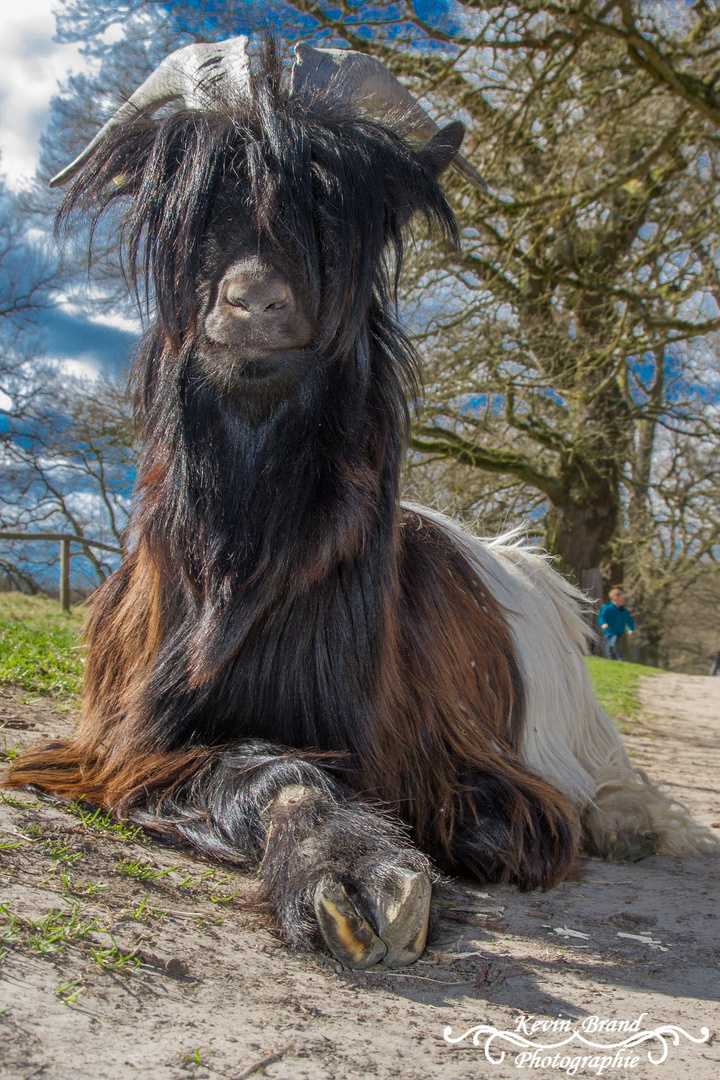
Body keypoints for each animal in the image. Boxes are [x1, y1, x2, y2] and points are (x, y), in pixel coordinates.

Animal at [4, 39, 703, 972]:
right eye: (195, 204)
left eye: (337, 211)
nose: (254, 301)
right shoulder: (122, 743)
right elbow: (271, 769)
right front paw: (345, 871)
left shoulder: (455, 752)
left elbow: (497, 815)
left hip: (579, 714)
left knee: (612, 774)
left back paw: (628, 821)